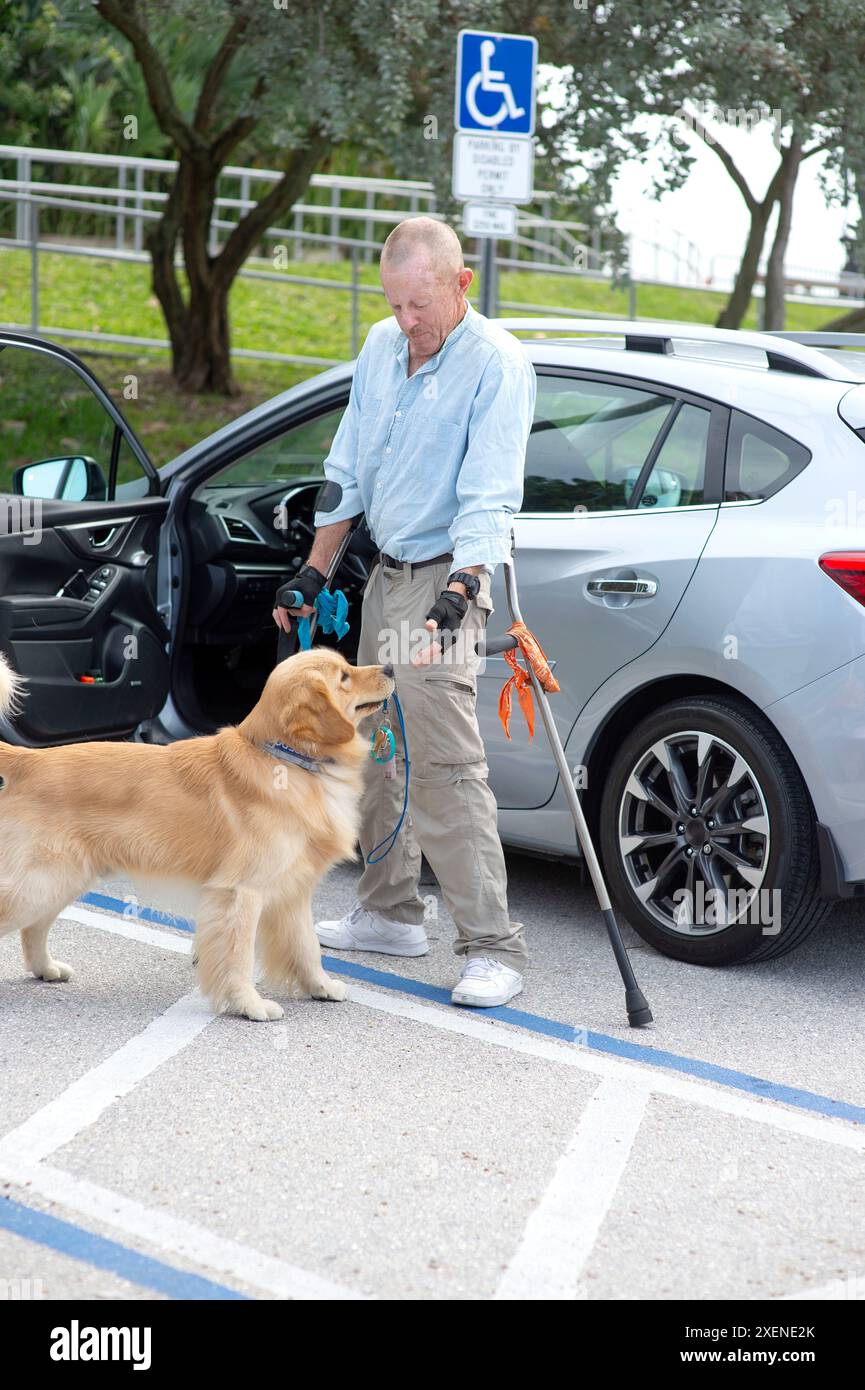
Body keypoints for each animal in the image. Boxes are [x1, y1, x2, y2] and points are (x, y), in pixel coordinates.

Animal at [0, 650, 394, 1023]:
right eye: (344, 677)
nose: (390, 667)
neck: (288, 760)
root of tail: (27, 760)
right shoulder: (241, 892)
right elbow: (240, 956)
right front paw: (249, 1005)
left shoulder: (293, 892)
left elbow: (307, 947)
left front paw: (321, 986)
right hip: (39, 882)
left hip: (61, 880)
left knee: (33, 929)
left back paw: (46, 969)